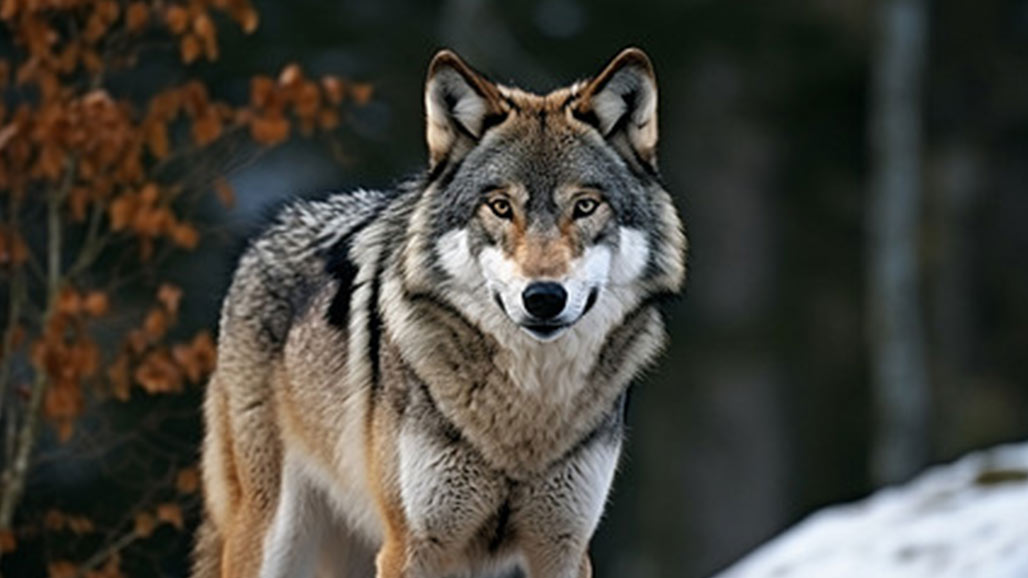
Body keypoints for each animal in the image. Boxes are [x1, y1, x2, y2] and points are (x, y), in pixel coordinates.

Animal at [192, 47, 687, 578]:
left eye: (586, 206)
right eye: (500, 206)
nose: (543, 297)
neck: (525, 413)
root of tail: (264, 236)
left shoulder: (564, 547)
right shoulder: (413, 546)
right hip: (276, 536)